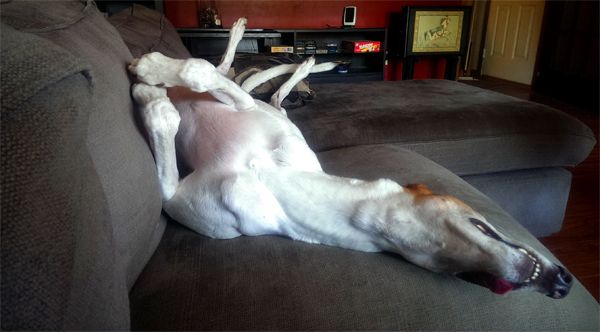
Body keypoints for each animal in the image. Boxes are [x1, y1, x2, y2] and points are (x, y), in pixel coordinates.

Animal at [127, 18, 572, 298]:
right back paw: (276, 50)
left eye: (468, 276)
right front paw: (150, 72)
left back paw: (303, 61)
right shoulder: (237, 111)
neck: (274, 181)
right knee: (230, 72)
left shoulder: (177, 200)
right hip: (251, 100)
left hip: (262, 104)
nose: (562, 284)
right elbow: (199, 71)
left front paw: (152, 95)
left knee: (253, 83)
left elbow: (168, 167)